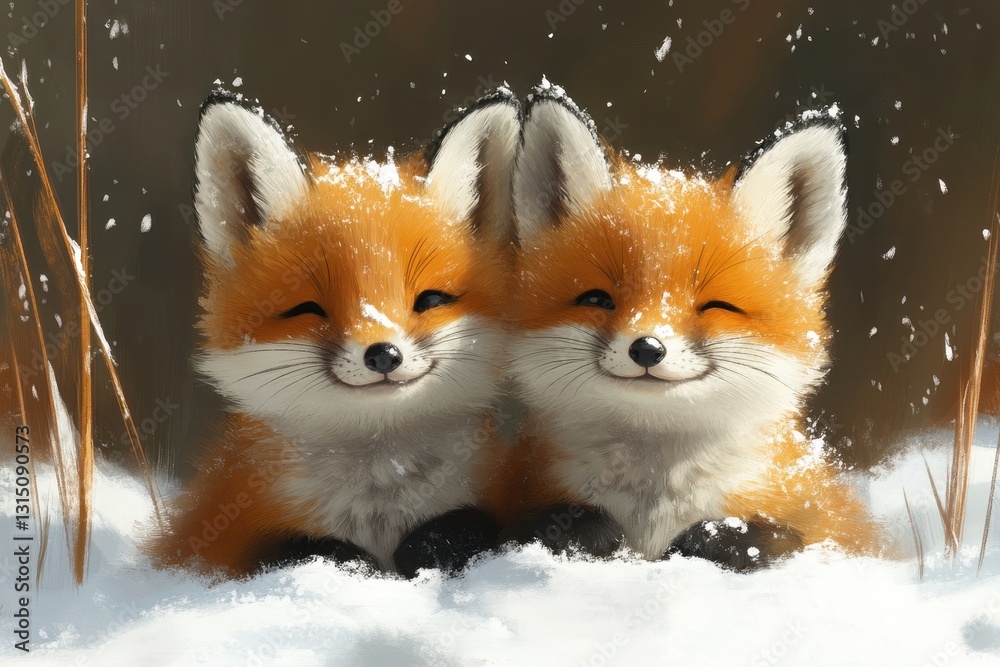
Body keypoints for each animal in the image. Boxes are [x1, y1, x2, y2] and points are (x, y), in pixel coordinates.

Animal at [151, 89, 520, 578]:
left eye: (430, 300)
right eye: (308, 308)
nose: (383, 354)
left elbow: (460, 526)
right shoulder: (220, 536)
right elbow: (298, 547)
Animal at [499, 84, 877, 570]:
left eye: (716, 306)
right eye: (598, 299)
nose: (647, 348)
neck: (655, 509)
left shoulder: (831, 528)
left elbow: (769, 536)